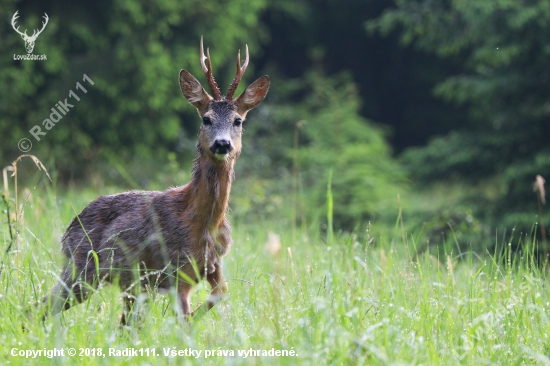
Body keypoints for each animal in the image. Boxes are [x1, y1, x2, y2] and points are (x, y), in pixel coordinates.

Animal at [42, 38, 270, 324]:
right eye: (206, 119)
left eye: (238, 121)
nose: (222, 144)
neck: (203, 223)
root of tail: (68, 229)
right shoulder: (175, 269)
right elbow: (185, 319)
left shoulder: (212, 264)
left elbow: (220, 293)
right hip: (82, 269)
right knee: (42, 306)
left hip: (122, 283)